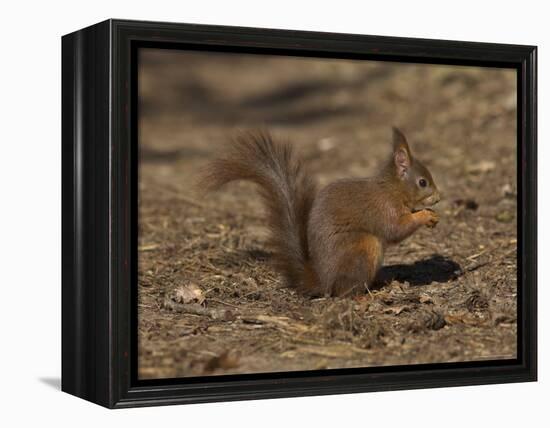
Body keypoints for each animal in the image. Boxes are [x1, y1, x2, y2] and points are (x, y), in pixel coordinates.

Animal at [201, 128, 442, 298]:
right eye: (422, 182)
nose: (439, 198)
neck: (393, 189)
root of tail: (323, 281)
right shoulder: (384, 208)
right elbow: (396, 229)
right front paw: (425, 216)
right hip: (363, 248)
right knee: (343, 293)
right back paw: (365, 296)